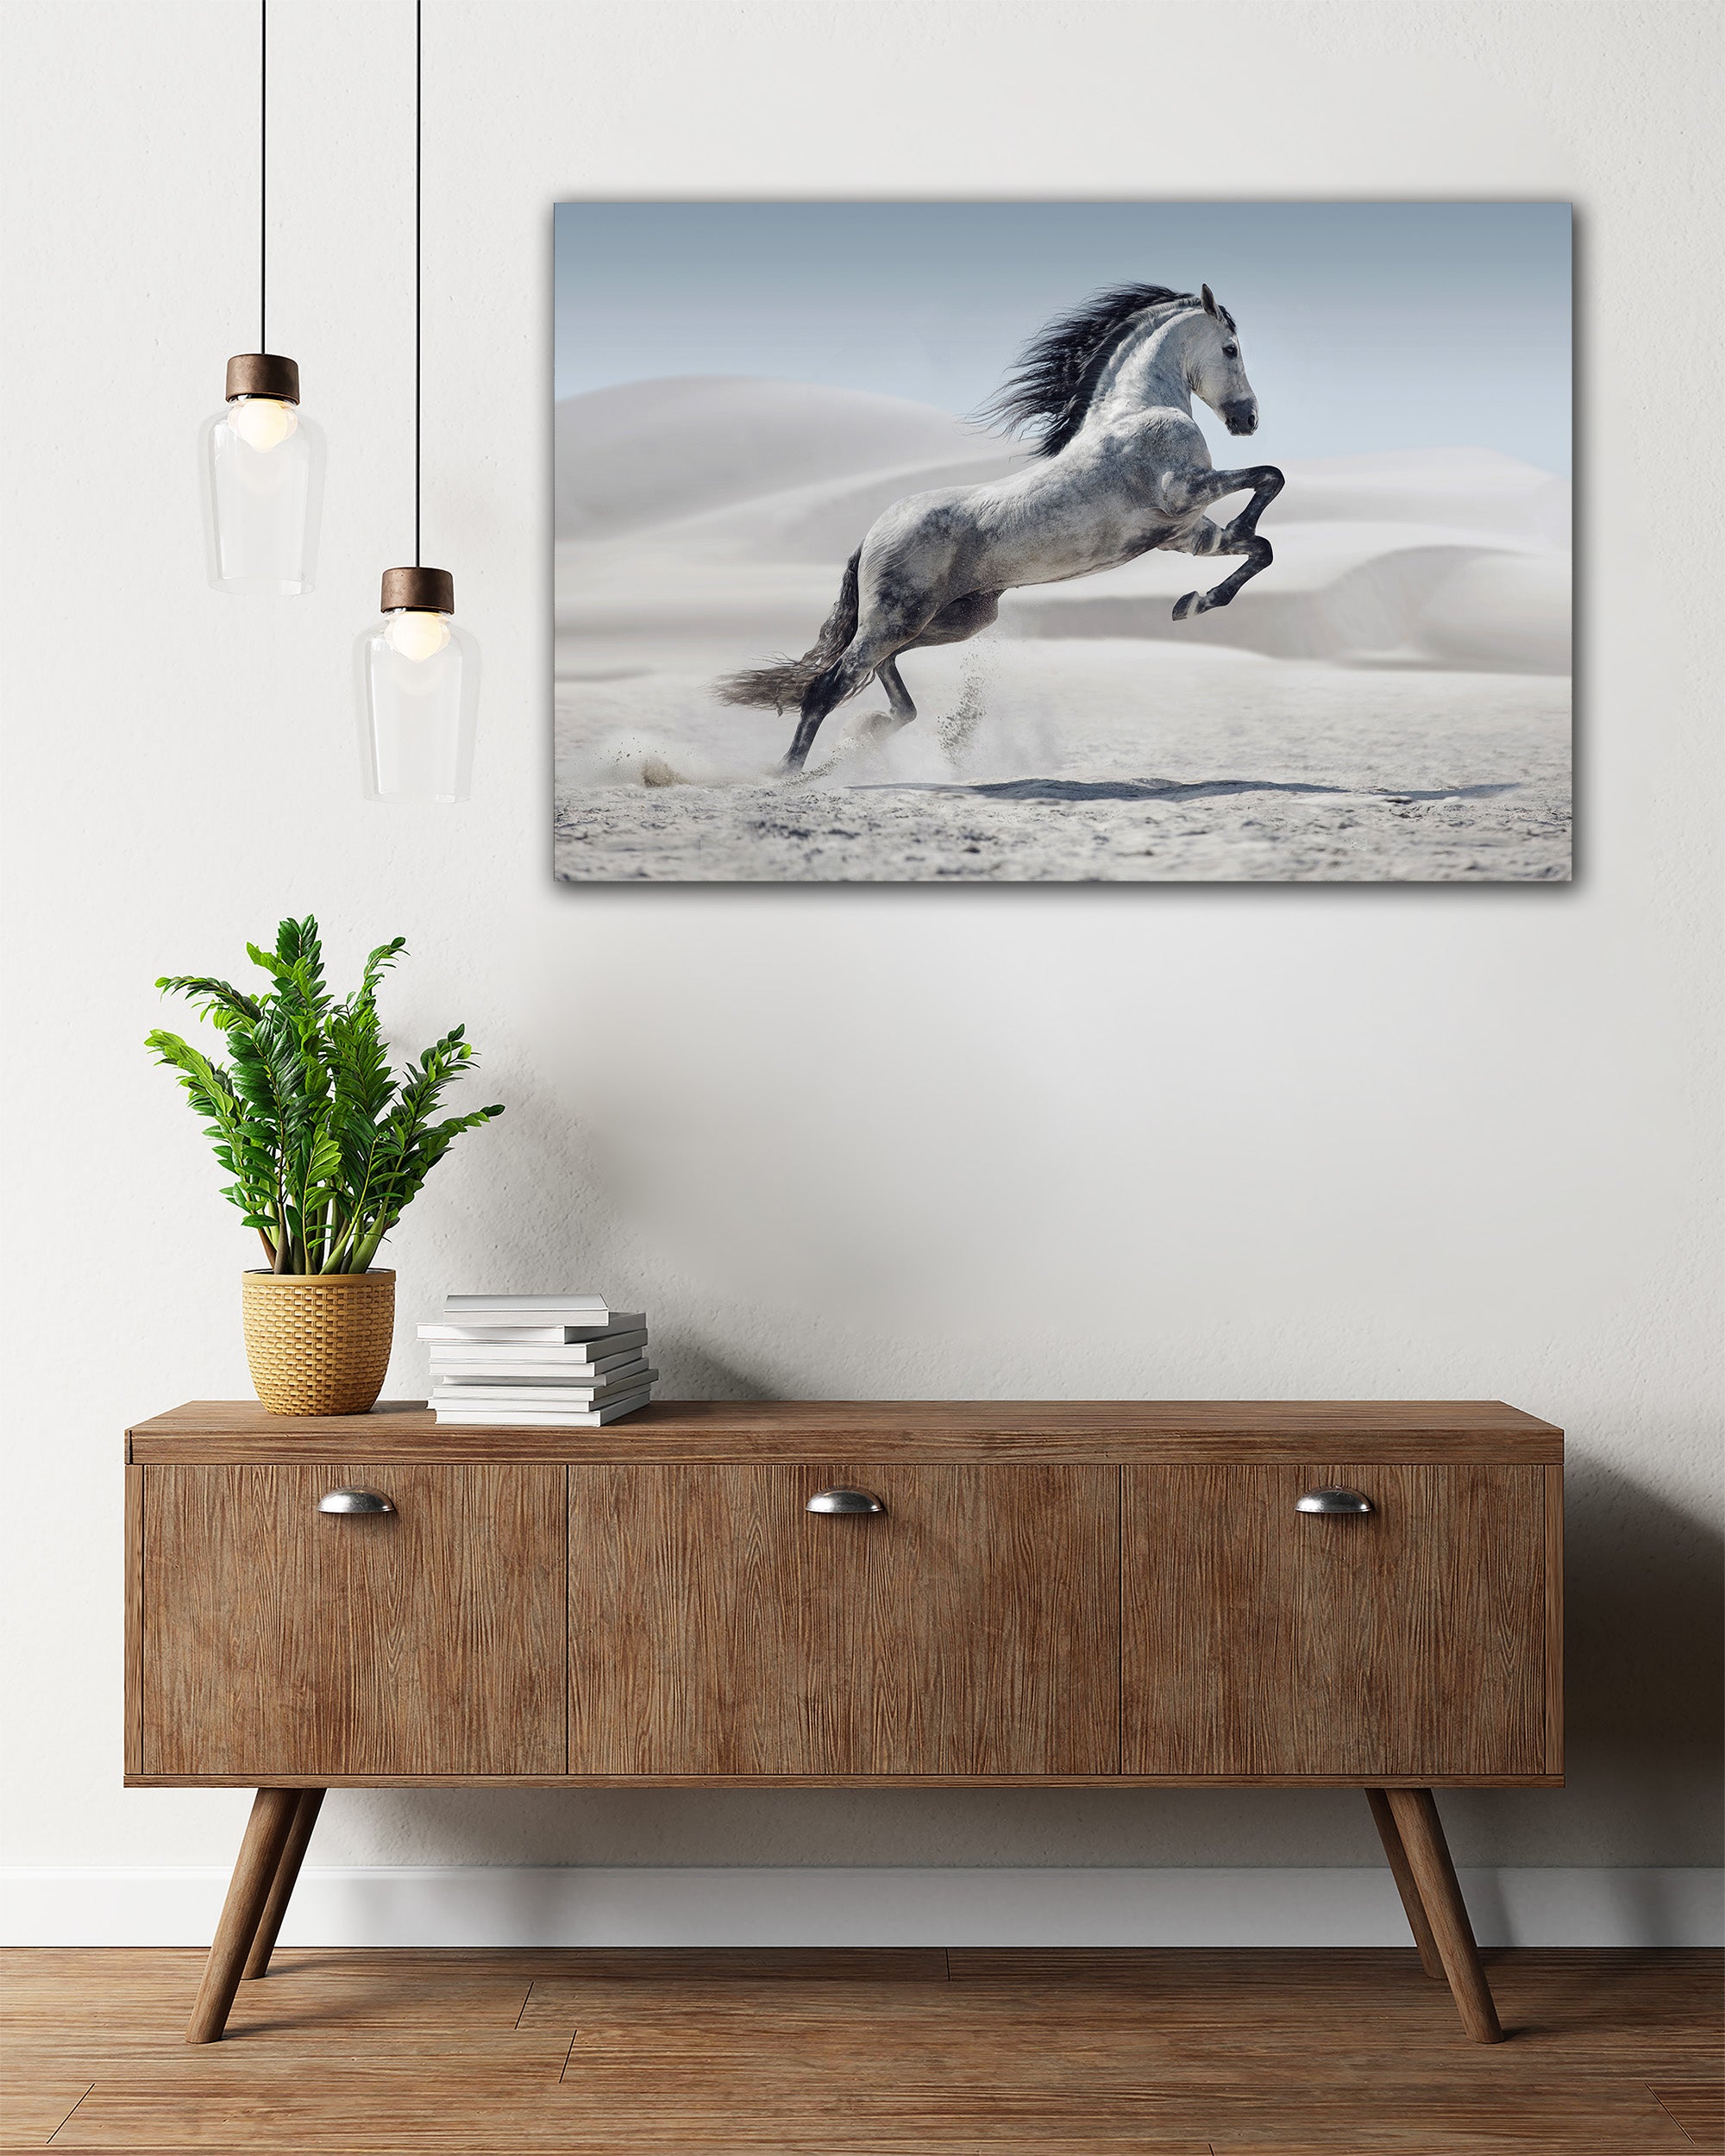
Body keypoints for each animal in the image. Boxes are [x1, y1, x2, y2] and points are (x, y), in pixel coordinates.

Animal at [717, 283, 1284, 774]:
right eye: (1231, 349)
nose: (1249, 420)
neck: (1137, 410)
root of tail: (873, 534)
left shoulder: (1186, 535)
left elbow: (1260, 548)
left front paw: (1192, 603)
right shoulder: (1182, 491)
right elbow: (1269, 478)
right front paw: (1210, 575)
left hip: (951, 620)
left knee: (881, 673)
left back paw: (870, 731)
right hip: (899, 617)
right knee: (830, 684)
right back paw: (788, 773)